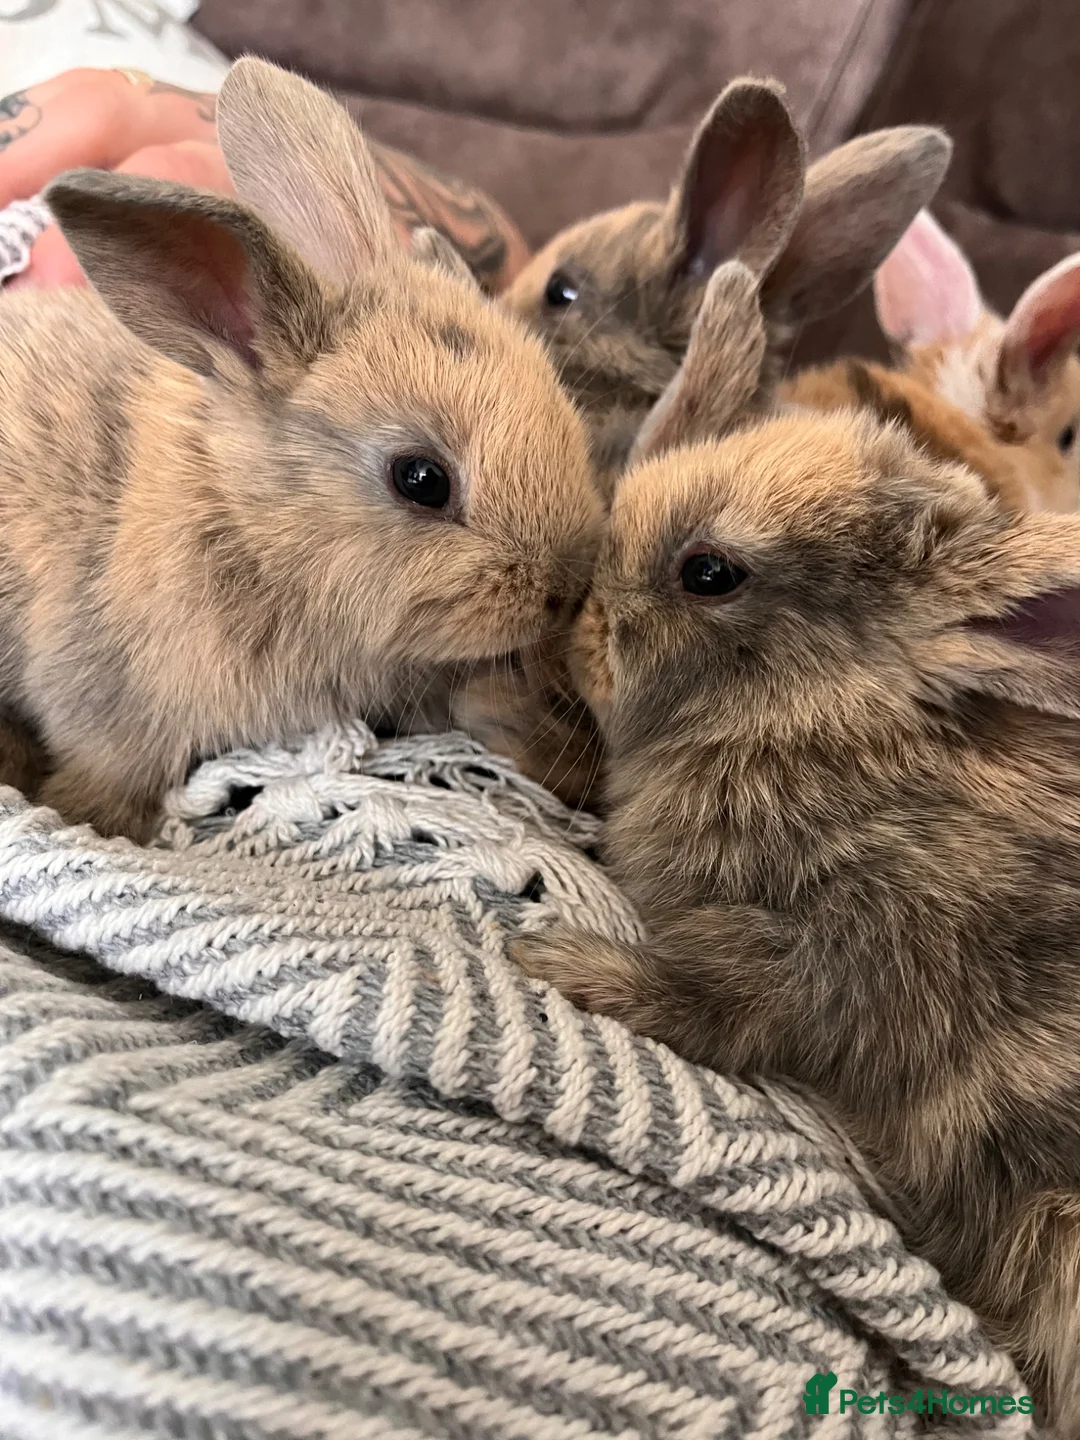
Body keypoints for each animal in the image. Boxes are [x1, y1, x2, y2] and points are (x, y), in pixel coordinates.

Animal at [0, 57, 602, 843]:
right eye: (421, 479)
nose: (566, 591)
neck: (248, 526)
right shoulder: (107, 698)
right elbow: (106, 771)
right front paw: (95, 821)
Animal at [517, 261, 1080, 1430]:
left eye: (710, 574)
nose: (576, 620)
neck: (816, 715)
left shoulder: (843, 960)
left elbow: (718, 1003)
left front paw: (559, 962)